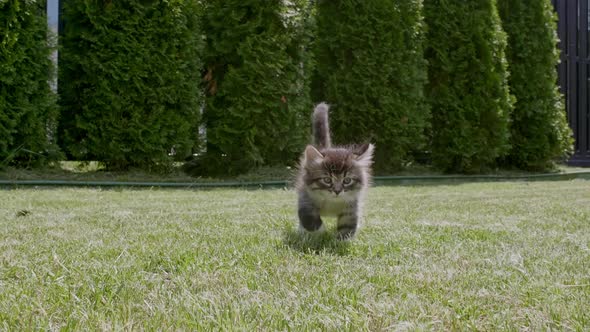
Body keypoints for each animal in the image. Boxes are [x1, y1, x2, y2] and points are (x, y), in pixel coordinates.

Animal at [296, 102, 374, 240]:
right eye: (327, 180)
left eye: (347, 180)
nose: (337, 191)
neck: (332, 203)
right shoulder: (305, 198)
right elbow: (308, 217)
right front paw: (319, 232)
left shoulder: (352, 207)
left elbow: (348, 225)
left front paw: (342, 240)